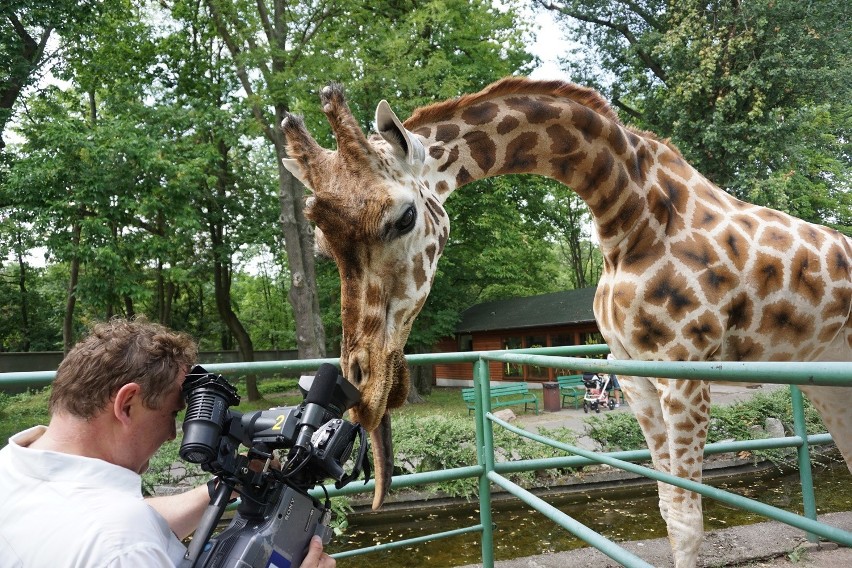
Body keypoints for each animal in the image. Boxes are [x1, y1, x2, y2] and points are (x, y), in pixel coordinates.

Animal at [282, 77, 852, 564]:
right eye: (321, 244)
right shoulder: (635, 373)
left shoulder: (685, 368)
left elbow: (688, 518)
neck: (628, 217)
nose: (364, 383)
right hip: (825, 379)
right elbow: (668, 508)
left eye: (404, 218)